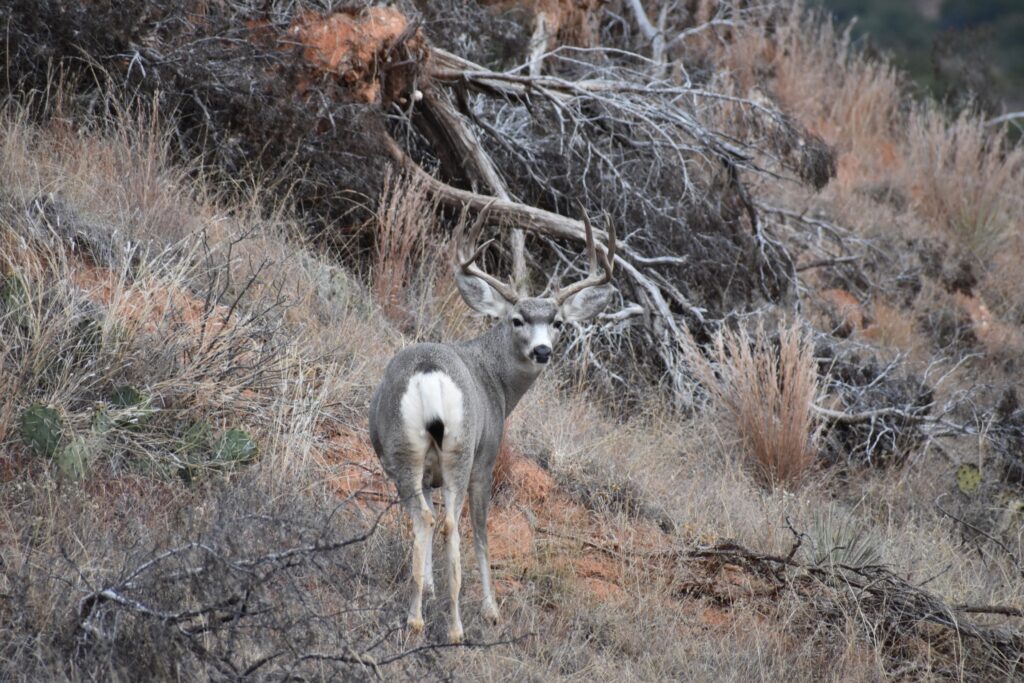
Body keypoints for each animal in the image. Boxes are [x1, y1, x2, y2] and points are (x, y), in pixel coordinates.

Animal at [372, 205, 618, 643]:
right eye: (517, 319)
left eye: (557, 322)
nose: (542, 351)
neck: (496, 382)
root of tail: (429, 373)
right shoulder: (486, 458)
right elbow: (483, 534)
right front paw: (491, 610)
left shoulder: (433, 472)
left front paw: (431, 587)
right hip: (460, 451)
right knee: (451, 522)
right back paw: (451, 626)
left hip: (415, 449)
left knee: (429, 517)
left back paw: (423, 617)